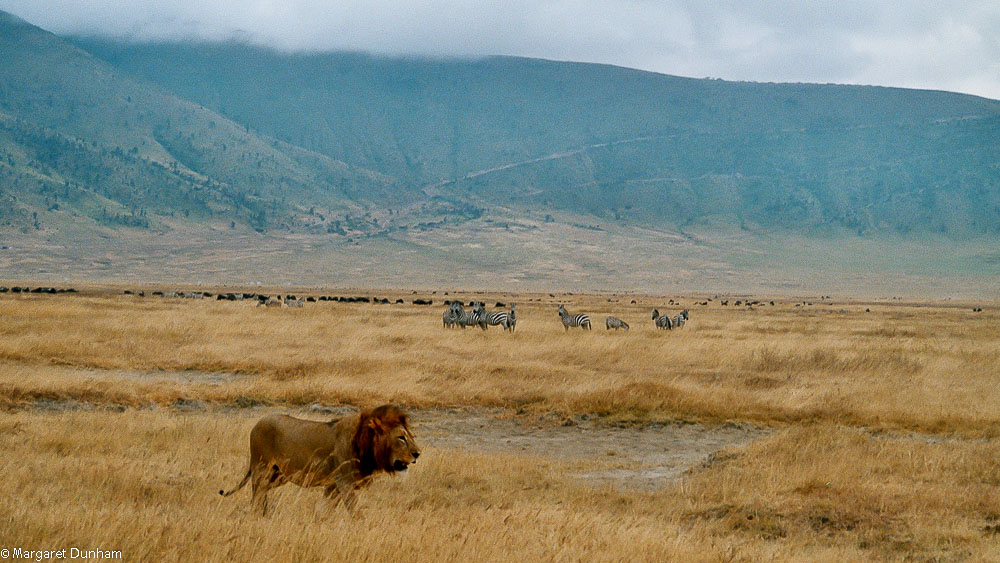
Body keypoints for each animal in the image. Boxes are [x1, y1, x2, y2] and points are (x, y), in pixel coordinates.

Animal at [219, 405, 420, 514]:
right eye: (401, 438)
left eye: (411, 436)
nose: (417, 454)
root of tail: (257, 423)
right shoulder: (344, 482)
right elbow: (354, 511)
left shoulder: (333, 485)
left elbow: (325, 511)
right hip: (262, 468)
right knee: (257, 494)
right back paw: (258, 514)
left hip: (278, 476)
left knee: (261, 494)